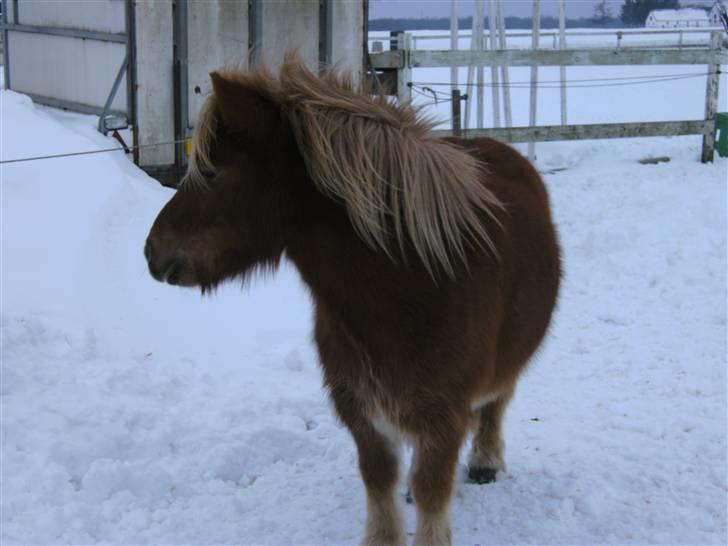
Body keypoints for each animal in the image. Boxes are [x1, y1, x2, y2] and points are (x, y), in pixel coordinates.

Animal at [144, 56, 564, 544]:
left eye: (211, 172)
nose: (151, 251)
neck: (410, 288)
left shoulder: (443, 416)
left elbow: (432, 492)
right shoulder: (360, 409)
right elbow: (380, 480)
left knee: (497, 400)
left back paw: (485, 459)